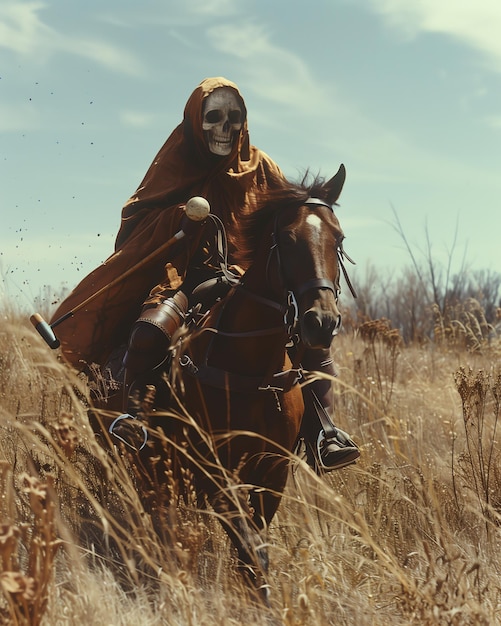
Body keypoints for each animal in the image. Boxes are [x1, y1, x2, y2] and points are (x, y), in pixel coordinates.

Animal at [102, 163, 350, 596]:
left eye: (338, 238)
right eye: (287, 239)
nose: (321, 322)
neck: (251, 370)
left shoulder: (272, 472)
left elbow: (256, 542)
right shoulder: (213, 473)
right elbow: (251, 548)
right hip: (150, 465)